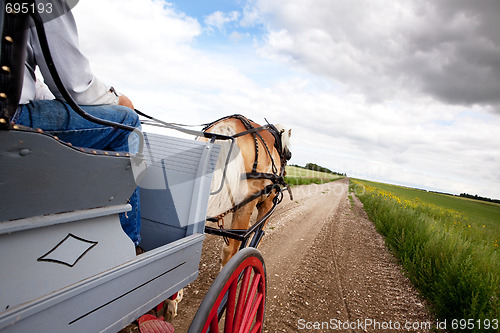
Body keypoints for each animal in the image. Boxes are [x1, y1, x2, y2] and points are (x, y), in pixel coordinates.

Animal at [201, 115, 292, 266]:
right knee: (230, 249)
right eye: (287, 155)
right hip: (246, 204)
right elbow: (258, 234)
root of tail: (227, 126)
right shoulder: (267, 203)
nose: (289, 154)